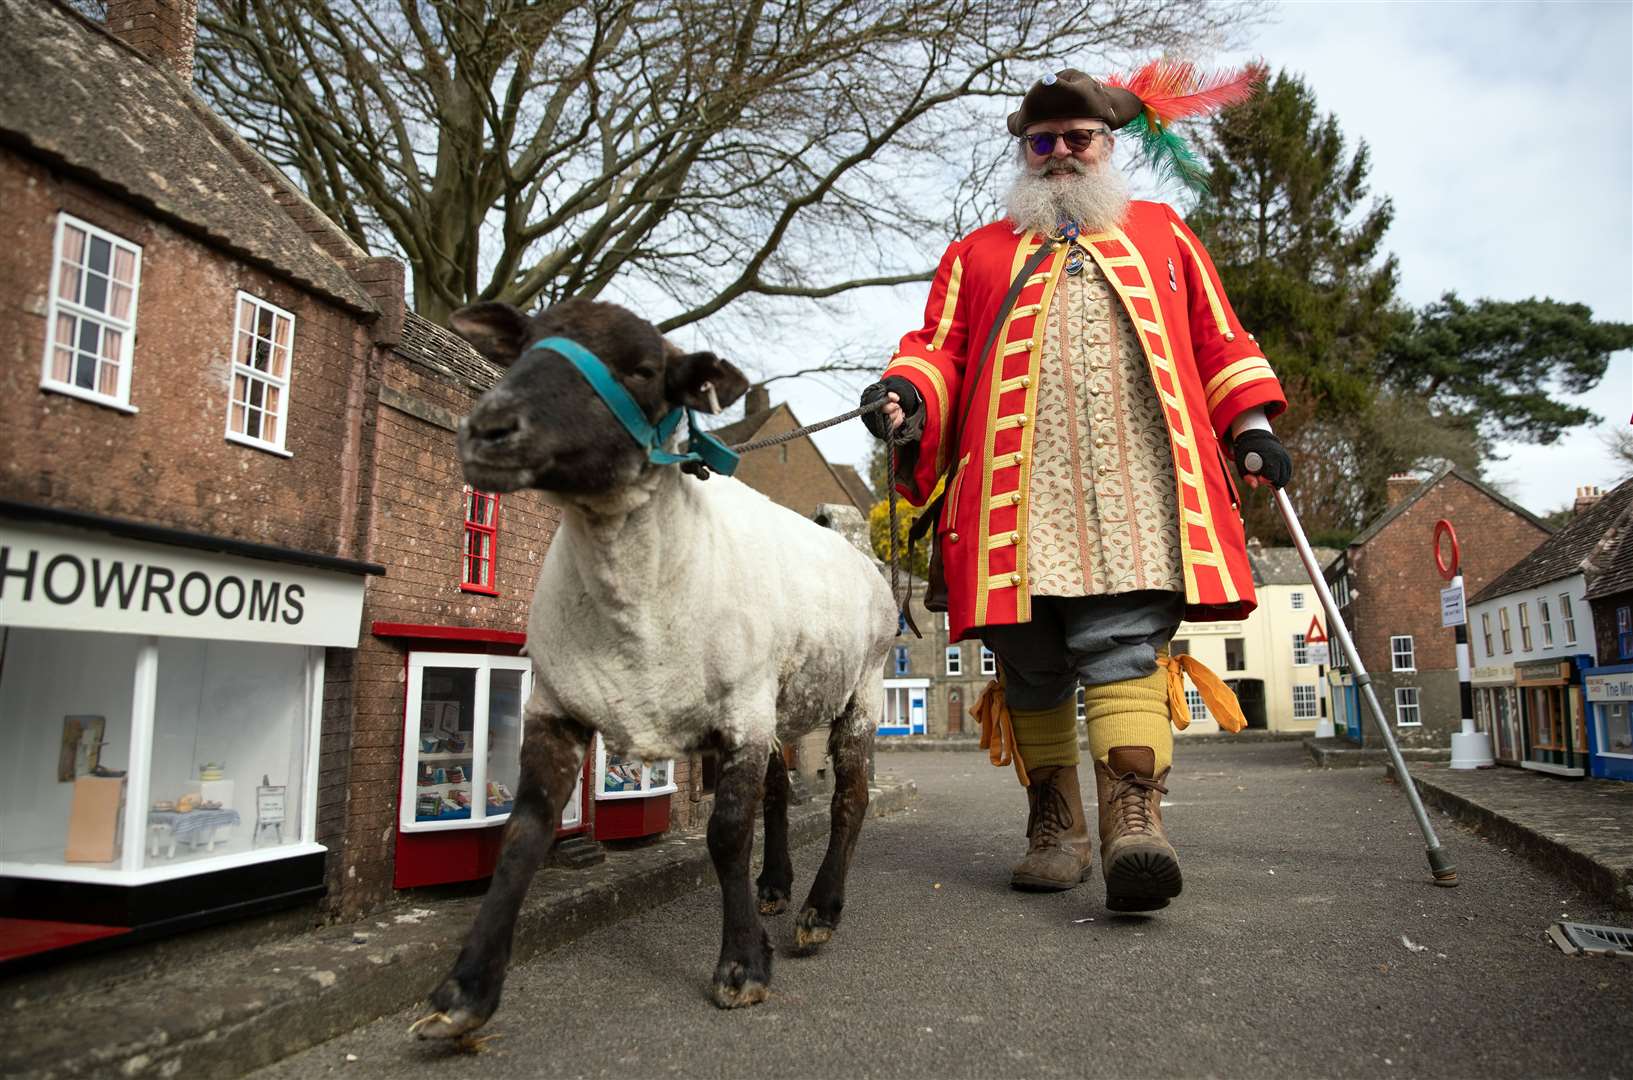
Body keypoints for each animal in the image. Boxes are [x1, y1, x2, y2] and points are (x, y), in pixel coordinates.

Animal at [408, 294, 894, 1039]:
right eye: (525, 347)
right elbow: (522, 835)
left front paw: (741, 966)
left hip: (857, 690)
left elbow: (726, 835)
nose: (486, 430)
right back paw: (775, 888)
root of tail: (855, 548)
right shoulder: (556, 706)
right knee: (780, 793)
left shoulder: (739, 714)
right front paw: (464, 990)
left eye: (642, 369)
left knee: (849, 798)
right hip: (776, 701)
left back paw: (818, 912)